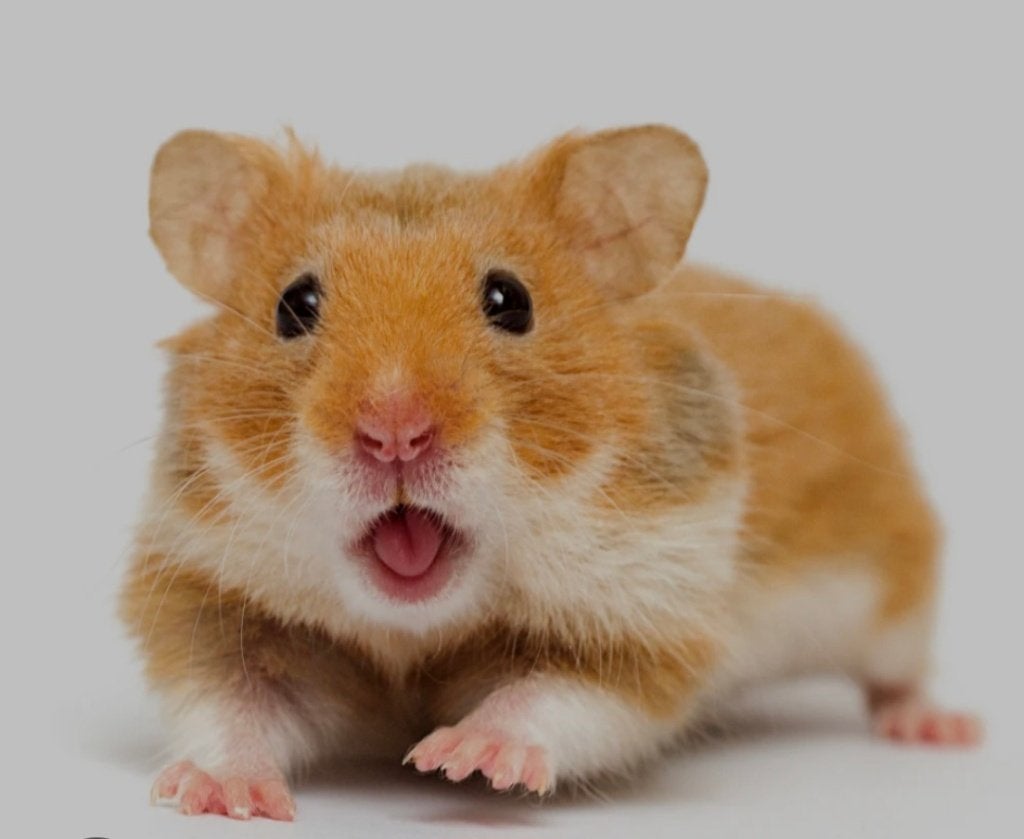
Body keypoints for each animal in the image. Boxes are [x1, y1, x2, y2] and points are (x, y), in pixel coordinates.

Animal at [120, 125, 980, 821]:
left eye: (510, 299)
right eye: (294, 305)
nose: (395, 431)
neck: (416, 629)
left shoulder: (646, 619)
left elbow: (553, 696)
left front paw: (462, 757)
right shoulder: (213, 596)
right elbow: (231, 703)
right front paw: (221, 794)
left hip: (894, 594)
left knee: (897, 671)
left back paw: (937, 727)